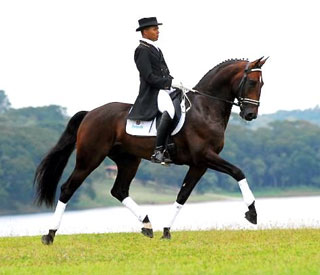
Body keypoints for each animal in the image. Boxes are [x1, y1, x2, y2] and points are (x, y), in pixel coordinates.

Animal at [34, 55, 268, 244]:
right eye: (252, 82)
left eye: (262, 84)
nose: (250, 115)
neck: (205, 108)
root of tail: (90, 113)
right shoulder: (205, 157)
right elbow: (238, 172)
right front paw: (252, 212)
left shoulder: (199, 164)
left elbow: (183, 195)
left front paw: (166, 231)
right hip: (89, 159)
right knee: (68, 188)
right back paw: (49, 234)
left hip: (129, 161)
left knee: (119, 190)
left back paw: (146, 225)